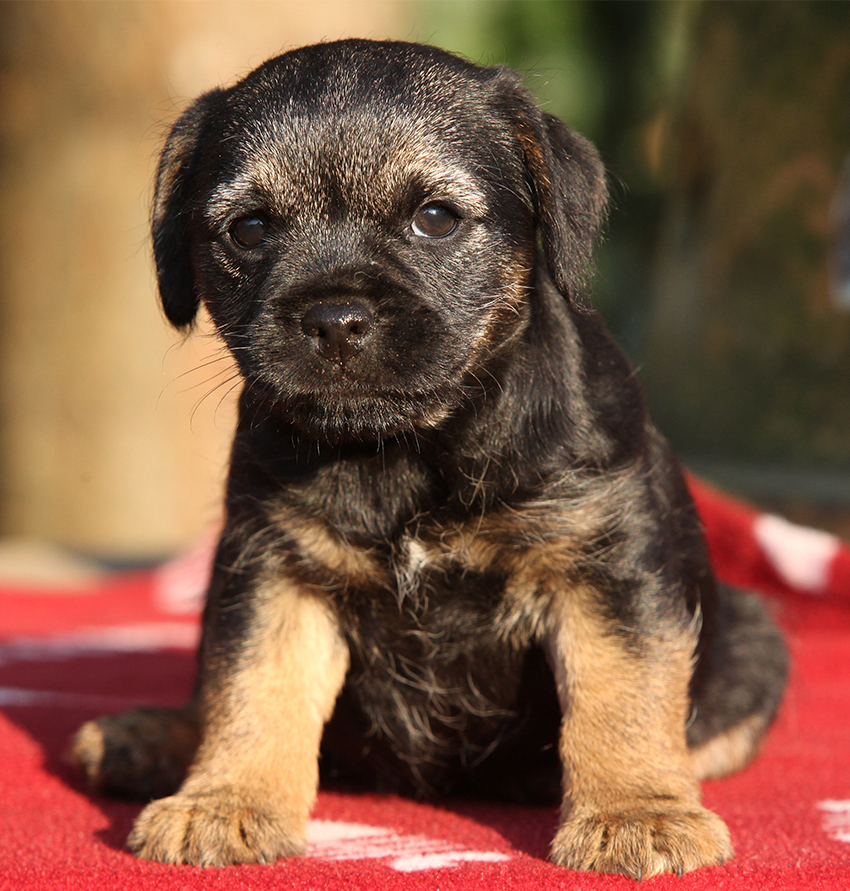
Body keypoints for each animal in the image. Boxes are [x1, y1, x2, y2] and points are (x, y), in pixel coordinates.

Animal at [69, 40, 784, 880]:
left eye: (434, 218)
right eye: (248, 229)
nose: (334, 319)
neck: (407, 451)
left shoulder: (605, 565)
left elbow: (625, 691)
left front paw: (636, 809)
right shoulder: (275, 568)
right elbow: (252, 687)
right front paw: (228, 800)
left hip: (753, 636)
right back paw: (153, 741)